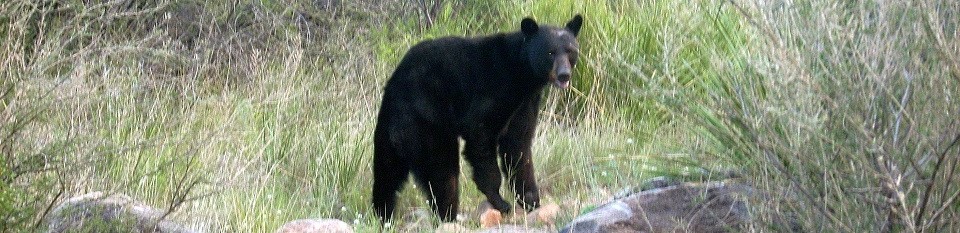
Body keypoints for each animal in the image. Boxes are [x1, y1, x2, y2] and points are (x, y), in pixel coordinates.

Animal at [374, 14, 584, 222]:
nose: (564, 75)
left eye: (570, 51)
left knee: (387, 176)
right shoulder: (493, 89)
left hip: (389, 134)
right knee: (442, 170)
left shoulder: (526, 103)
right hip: (426, 122)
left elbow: (518, 145)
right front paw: (500, 201)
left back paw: (383, 214)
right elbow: (481, 134)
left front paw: (531, 199)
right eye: (550, 53)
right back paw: (448, 214)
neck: (521, 73)